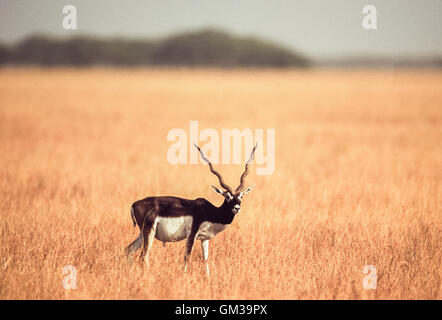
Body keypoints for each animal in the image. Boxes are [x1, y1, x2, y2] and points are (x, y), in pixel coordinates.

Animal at [124, 144, 258, 276]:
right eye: (227, 197)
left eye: (241, 196)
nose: (237, 208)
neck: (209, 212)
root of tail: (134, 204)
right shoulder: (192, 234)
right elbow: (187, 256)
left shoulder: (204, 239)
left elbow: (205, 260)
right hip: (149, 232)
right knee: (143, 256)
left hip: (142, 234)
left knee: (129, 249)